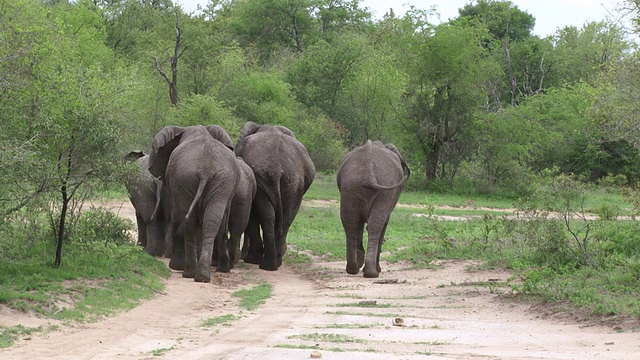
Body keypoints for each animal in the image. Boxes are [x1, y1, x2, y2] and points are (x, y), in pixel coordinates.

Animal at [148, 125, 240, 282]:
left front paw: (175, 266)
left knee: (187, 220)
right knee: (211, 221)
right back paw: (203, 275)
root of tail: (206, 169)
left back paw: (189, 273)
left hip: (185, 179)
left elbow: (176, 215)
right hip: (220, 180)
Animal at [235, 121, 316, 270]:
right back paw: (273, 262)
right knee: (285, 217)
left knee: (271, 216)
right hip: (292, 182)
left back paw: (262, 262)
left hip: (288, 181)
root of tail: (276, 168)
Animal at [336, 140, 410, 278]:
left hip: (350, 187)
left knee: (350, 222)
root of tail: (368, 170)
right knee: (376, 225)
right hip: (384, 189)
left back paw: (354, 269)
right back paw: (373, 272)